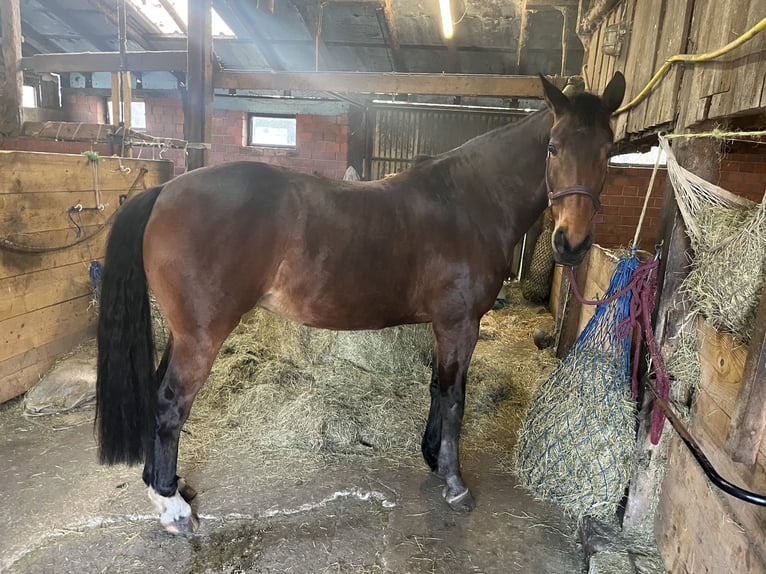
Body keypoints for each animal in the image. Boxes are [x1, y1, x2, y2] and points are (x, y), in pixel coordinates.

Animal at [95, 72, 625, 534]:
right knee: (169, 405)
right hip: (201, 336)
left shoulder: (444, 325)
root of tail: (165, 191)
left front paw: (432, 457)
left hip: (184, 333)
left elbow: (436, 388)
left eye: (608, 151)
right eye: (553, 147)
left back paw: (167, 486)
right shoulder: (460, 324)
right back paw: (173, 509)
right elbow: (454, 397)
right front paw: (454, 482)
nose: (572, 243)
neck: (470, 201)